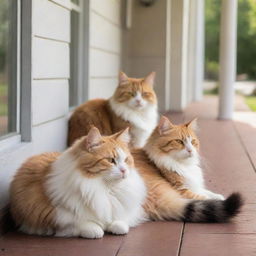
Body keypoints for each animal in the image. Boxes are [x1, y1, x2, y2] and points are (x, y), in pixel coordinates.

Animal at [9, 127, 146, 238]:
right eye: (111, 160)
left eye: (126, 160)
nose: (124, 170)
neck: (106, 188)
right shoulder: (50, 213)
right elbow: (79, 223)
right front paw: (96, 229)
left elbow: (120, 220)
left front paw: (116, 225)